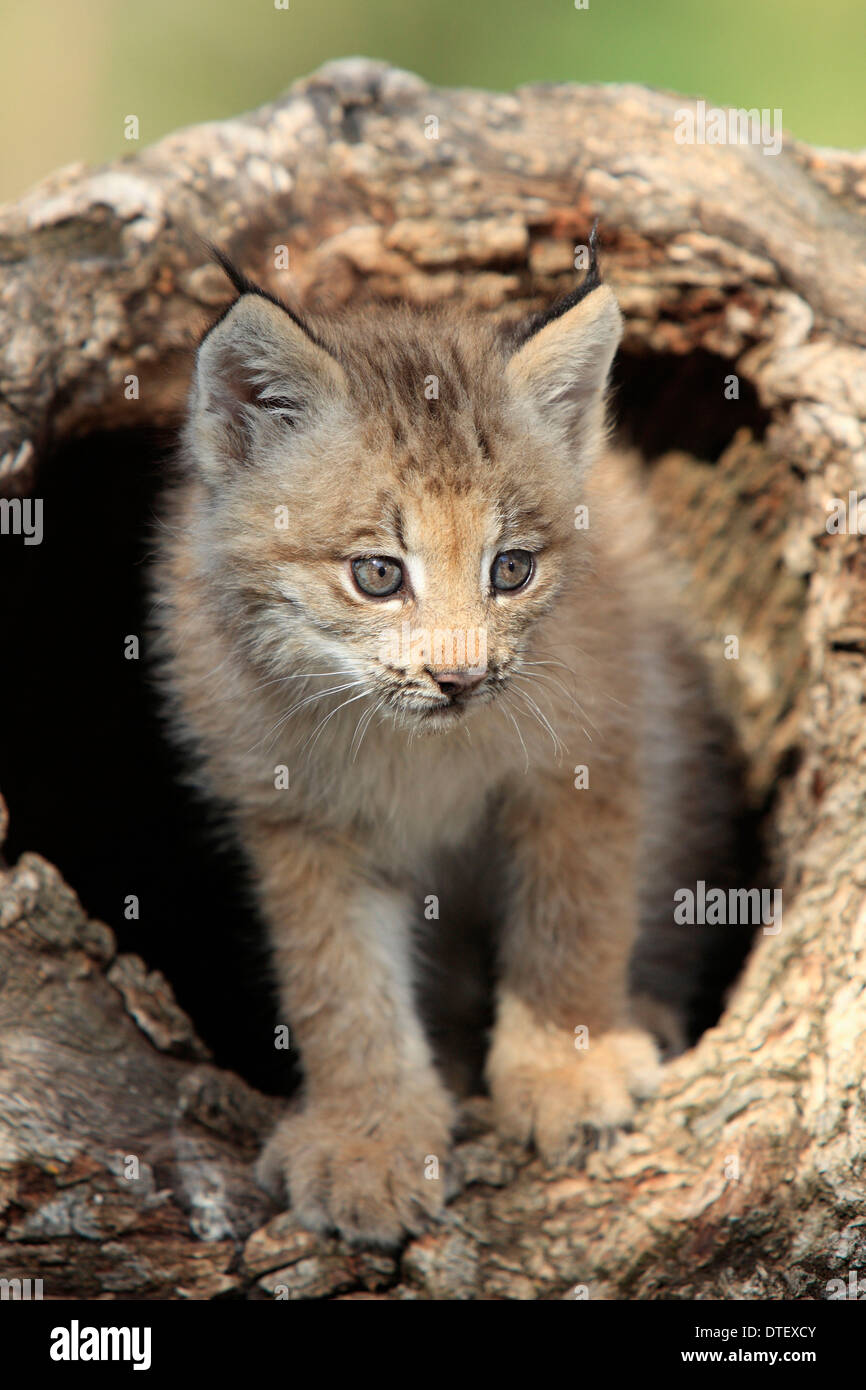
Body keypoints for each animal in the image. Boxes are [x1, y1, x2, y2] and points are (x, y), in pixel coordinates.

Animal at [154, 244, 733, 1245]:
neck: (411, 741)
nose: (460, 680)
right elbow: (336, 981)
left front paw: (566, 1066)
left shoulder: (592, 751)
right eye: (378, 575)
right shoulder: (295, 813)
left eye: (514, 569)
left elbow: (574, 914)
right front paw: (370, 1139)